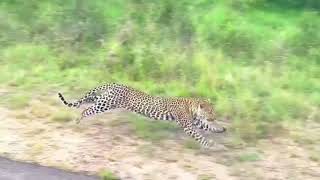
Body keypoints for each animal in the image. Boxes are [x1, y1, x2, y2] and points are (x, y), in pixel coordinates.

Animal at [58, 82, 228, 148]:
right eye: (210, 111)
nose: (214, 116)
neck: (192, 107)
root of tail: (114, 84)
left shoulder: (195, 122)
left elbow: (207, 126)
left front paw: (220, 129)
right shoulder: (187, 125)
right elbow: (199, 135)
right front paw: (208, 144)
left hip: (103, 100)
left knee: (87, 102)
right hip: (105, 104)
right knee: (85, 110)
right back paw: (78, 121)